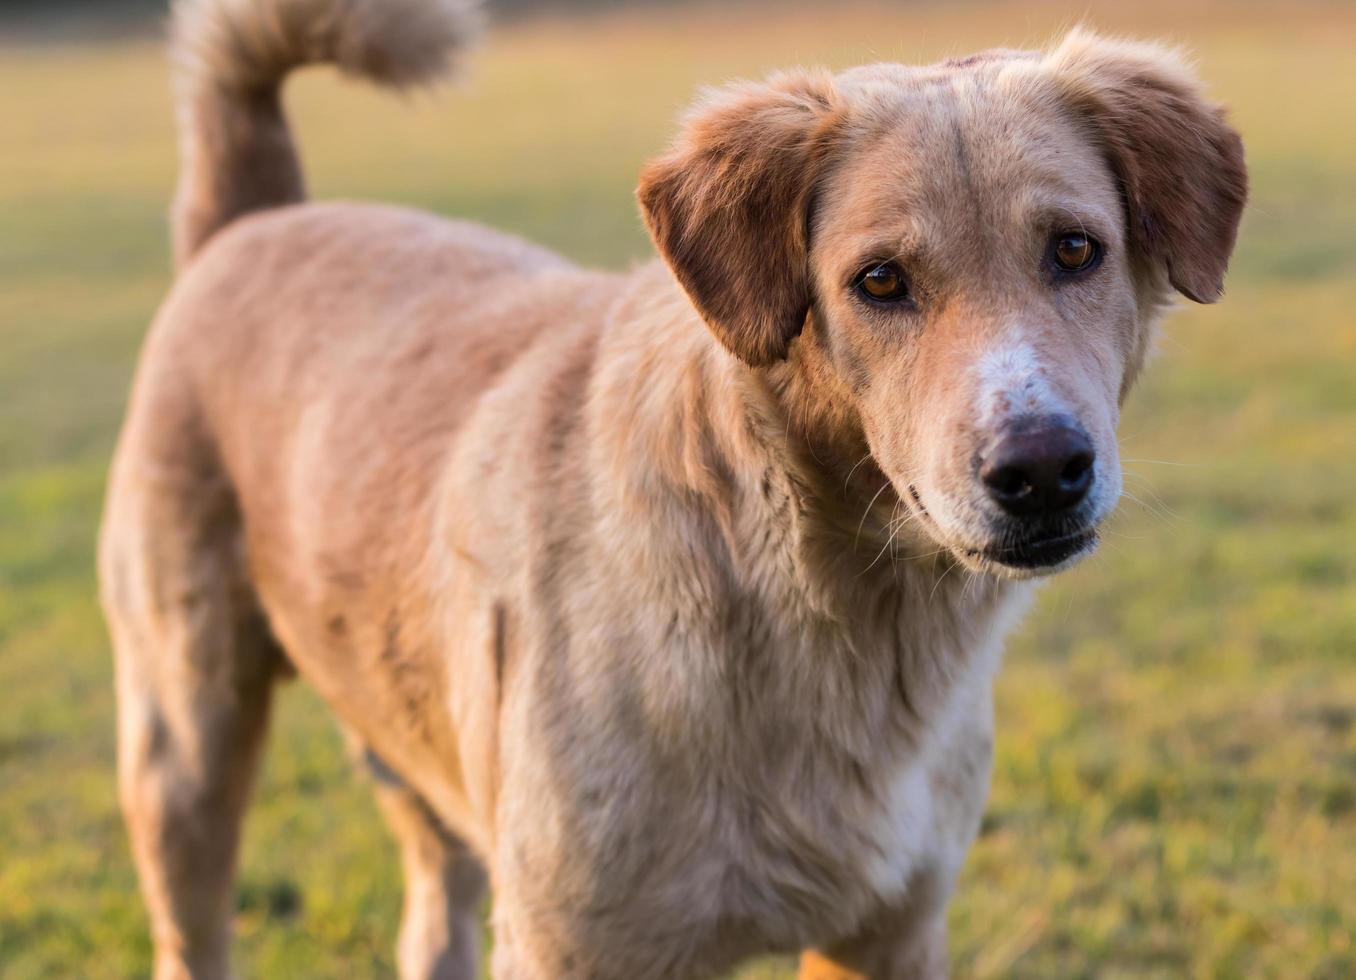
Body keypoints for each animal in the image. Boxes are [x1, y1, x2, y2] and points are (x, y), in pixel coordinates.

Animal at [100, 0, 1247, 975]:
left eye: (1075, 250)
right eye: (879, 281)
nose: (1042, 468)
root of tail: (252, 223)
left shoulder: (892, 927)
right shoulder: (572, 942)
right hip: (184, 746)